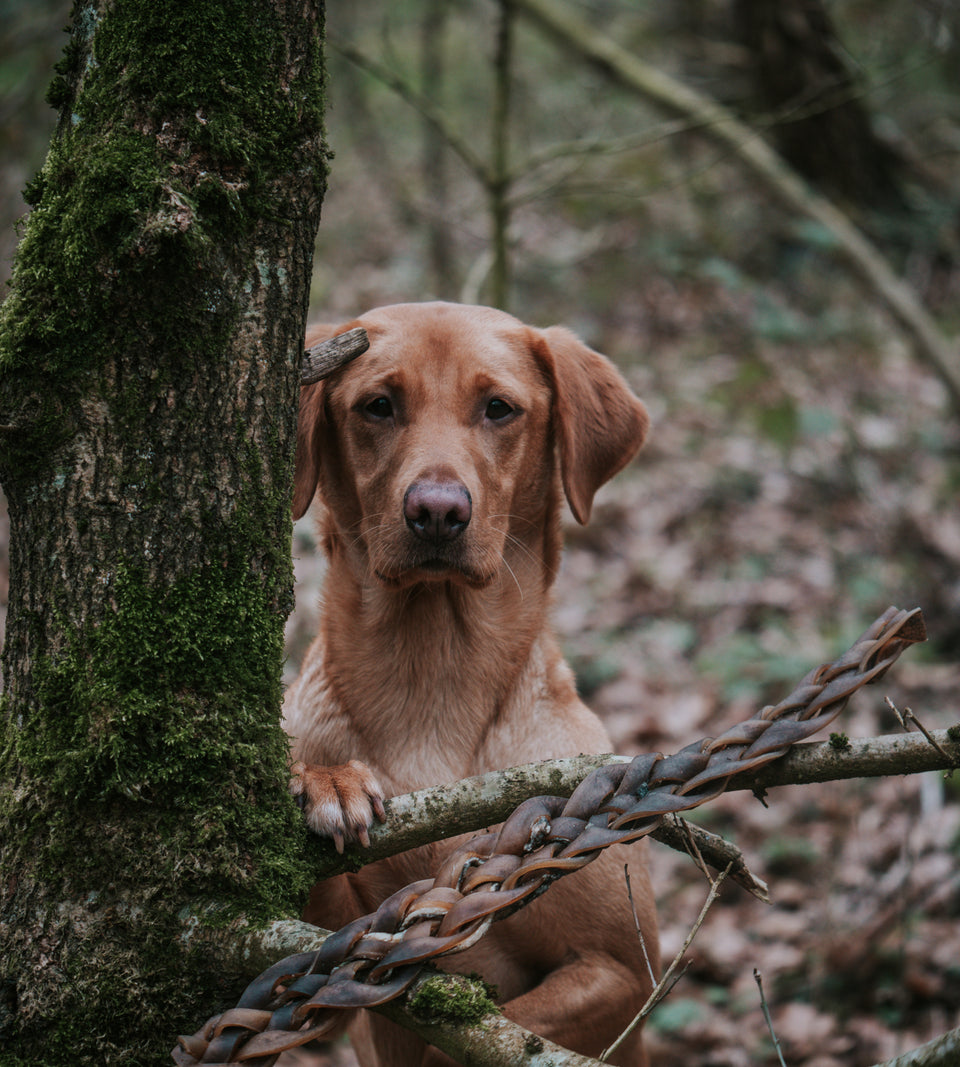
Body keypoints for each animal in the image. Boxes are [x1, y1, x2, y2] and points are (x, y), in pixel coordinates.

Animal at [285, 303, 657, 1067]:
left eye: (498, 408)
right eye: (377, 404)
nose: (436, 510)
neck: (434, 677)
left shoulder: (624, 970)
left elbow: (493, 1030)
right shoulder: (323, 981)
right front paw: (328, 780)